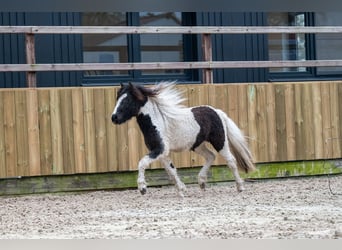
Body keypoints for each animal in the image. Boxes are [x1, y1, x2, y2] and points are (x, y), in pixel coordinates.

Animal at [111, 81, 254, 196]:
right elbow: (171, 170)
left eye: (127, 100)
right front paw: (181, 190)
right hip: (197, 145)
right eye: (118, 99)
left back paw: (240, 187)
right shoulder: (161, 153)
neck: (158, 121)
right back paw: (202, 182)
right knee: (210, 156)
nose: (114, 118)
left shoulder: (160, 150)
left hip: (219, 142)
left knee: (231, 161)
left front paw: (142, 188)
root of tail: (217, 112)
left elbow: (142, 163)